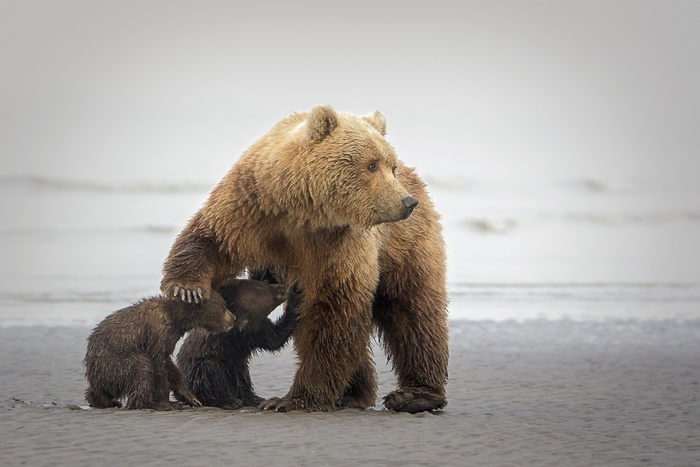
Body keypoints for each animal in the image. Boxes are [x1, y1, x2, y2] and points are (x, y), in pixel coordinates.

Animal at [84, 293, 235, 410]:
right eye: (224, 306)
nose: (233, 318)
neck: (177, 318)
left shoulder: (168, 338)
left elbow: (170, 366)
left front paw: (191, 398)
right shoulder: (158, 331)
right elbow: (157, 365)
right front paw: (166, 402)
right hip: (113, 364)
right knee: (141, 368)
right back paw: (148, 403)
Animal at [176, 280, 299, 409]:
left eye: (265, 283)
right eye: (261, 287)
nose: (283, 288)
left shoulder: (254, 333)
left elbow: (274, 338)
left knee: (242, 379)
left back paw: (256, 399)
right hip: (194, 378)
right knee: (211, 370)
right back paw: (230, 401)